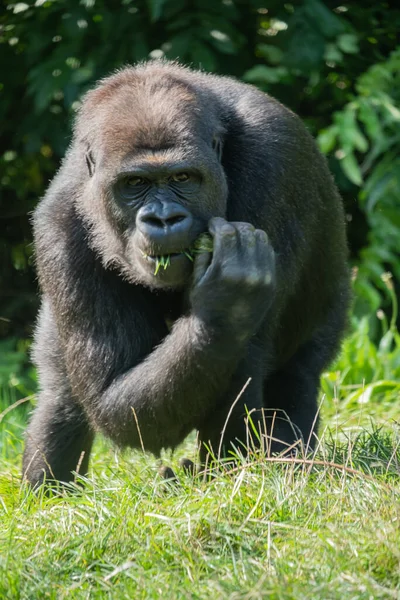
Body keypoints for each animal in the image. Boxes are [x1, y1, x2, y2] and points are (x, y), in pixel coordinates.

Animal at [21, 58, 350, 486]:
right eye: (135, 183)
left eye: (182, 178)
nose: (164, 219)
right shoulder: (58, 225)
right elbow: (114, 400)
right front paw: (226, 305)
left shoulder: (275, 164)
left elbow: (243, 359)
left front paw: (232, 475)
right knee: (61, 394)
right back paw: (50, 493)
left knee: (294, 377)